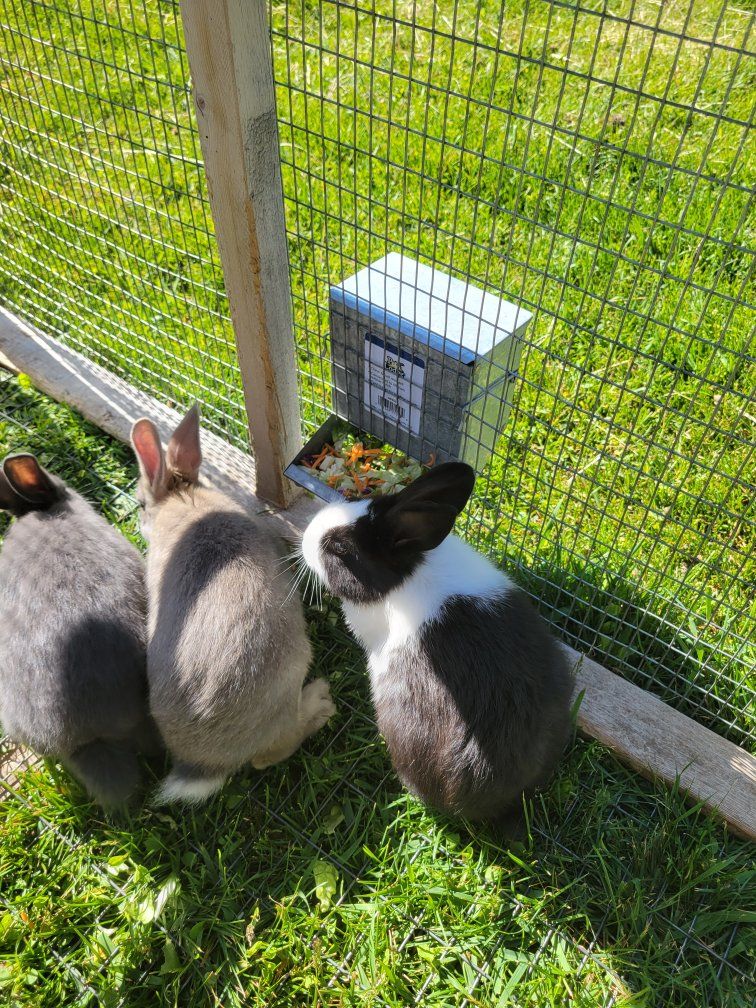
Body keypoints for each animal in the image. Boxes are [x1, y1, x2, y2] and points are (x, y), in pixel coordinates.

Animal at [130, 404, 335, 804]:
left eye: (141, 503)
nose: (140, 518)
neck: (182, 498)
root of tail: (205, 766)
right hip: (293, 668)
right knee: (270, 754)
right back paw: (320, 703)